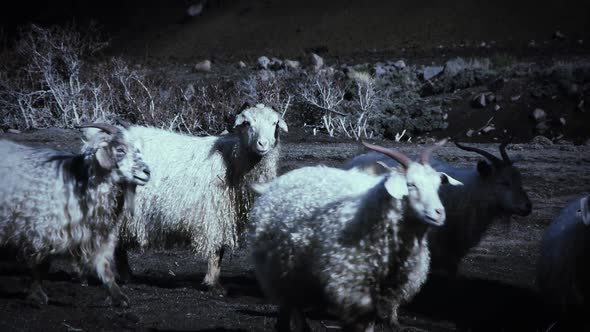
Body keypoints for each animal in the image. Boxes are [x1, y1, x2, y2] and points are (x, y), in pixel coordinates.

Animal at [0, 123, 150, 308]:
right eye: (120, 150)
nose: (146, 172)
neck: (79, 182)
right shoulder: (42, 229)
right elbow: (40, 264)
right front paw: (37, 295)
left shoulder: (100, 233)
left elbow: (105, 266)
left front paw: (119, 297)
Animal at [118, 103, 290, 290]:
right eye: (248, 123)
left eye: (274, 123)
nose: (262, 144)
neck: (231, 162)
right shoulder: (214, 213)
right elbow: (216, 250)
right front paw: (211, 282)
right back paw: (125, 277)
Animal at [250, 141, 462, 330]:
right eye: (411, 184)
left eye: (438, 184)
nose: (439, 213)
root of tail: (274, 184)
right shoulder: (352, 290)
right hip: (277, 272)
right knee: (288, 309)